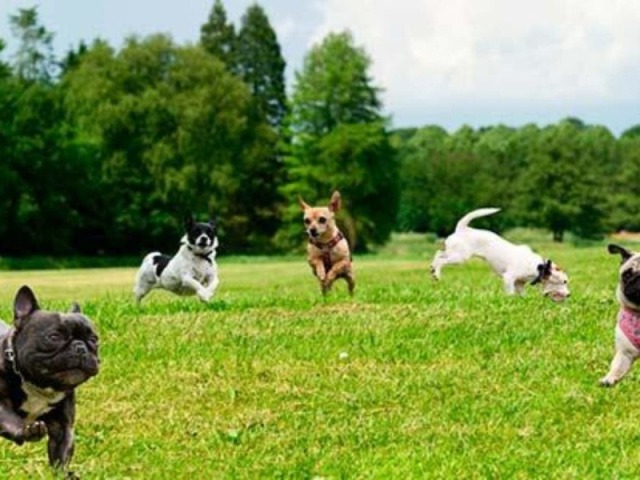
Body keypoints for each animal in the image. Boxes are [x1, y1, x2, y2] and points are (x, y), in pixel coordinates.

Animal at [430, 206, 568, 300]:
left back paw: (433, 270)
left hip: (454, 253)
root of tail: (462, 229)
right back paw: (437, 274)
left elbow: (522, 295)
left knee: (438, 254)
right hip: (459, 257)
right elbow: (510, 293)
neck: (539, 267)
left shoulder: (519, 284)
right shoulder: (509, 278)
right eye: (565, 281)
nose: (569, 295)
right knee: (441, 260)